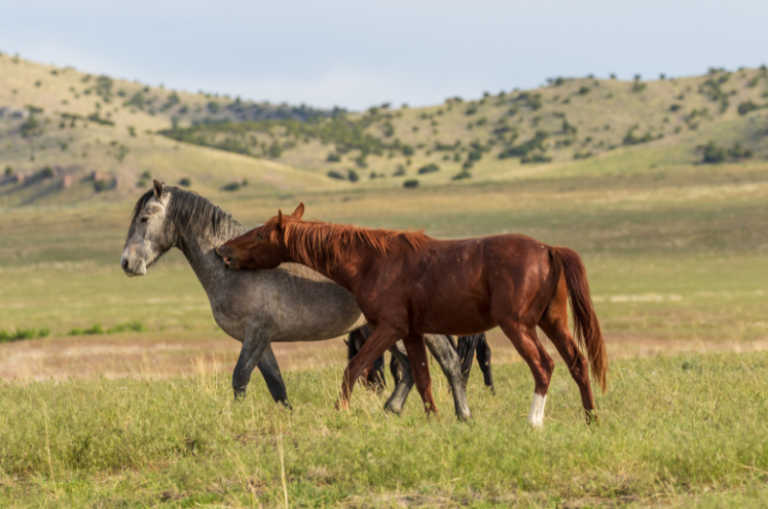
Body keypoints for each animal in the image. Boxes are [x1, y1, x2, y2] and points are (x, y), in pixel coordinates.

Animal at [120, 181, 472, 419]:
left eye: (144, 219)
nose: (126, 263)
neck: (229, 268)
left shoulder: (257, 333)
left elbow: (240, 377)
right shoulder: (259, 338)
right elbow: (275, 384)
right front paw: (287, 418)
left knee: (449, 362)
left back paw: (461, 415)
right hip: (384, 330)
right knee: (411, 368)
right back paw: (391, 410)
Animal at [217, 203, 608, 426]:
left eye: (260, 235)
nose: (224, 251)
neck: (372, 262)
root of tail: (548, 249)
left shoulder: (389, 328)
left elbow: (354, 367)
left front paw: (341, 410)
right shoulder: (413, 332)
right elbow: (422, 377)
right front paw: (434, 419)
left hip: (519, 326)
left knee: (544, 365)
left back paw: (534, 422)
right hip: (552, 322)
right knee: (578, 363)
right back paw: (591, 418)